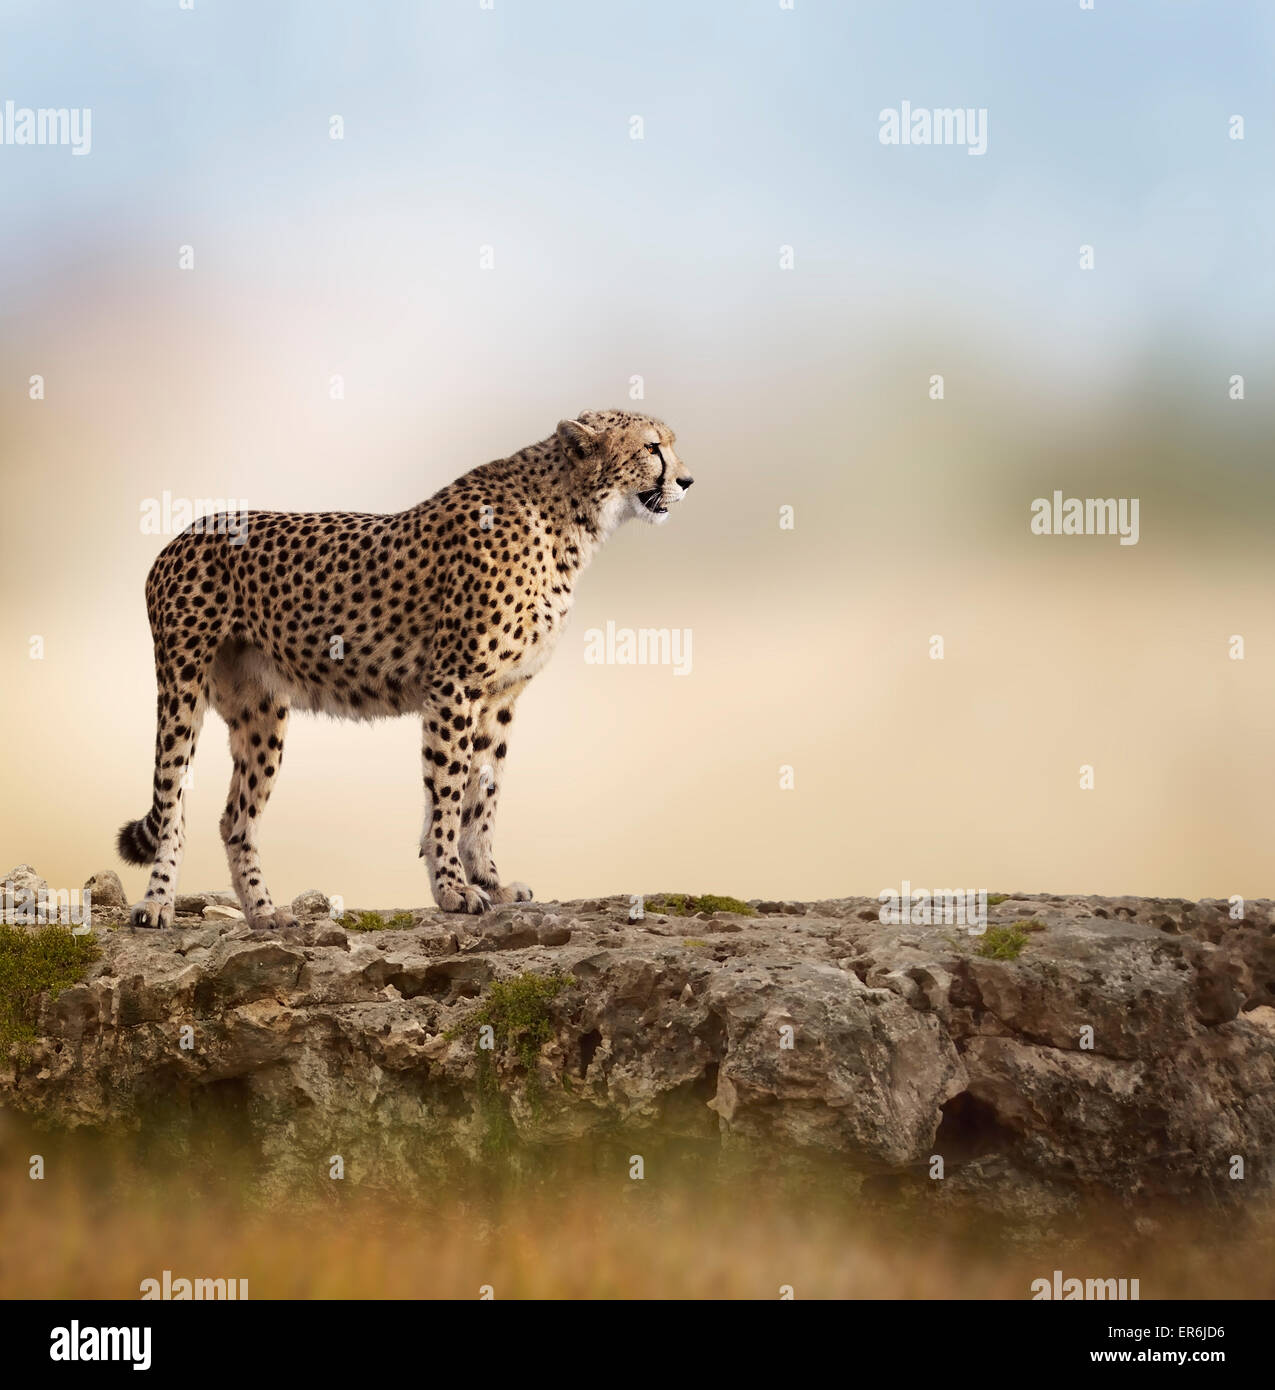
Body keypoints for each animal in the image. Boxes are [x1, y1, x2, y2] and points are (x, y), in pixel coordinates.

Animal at [116, 411, 695, 928]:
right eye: (652, 448)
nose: (687, 480)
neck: (571, 518)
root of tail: (183, 534)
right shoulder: (454, 684)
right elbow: (448, 791)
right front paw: (453, 890)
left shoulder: (500, 696)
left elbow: (483, 794)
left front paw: (490, 882)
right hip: (182, 687)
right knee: (172, 803)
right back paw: (157, 904)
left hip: (262, 711)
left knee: (236, 818)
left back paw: (264, 913)